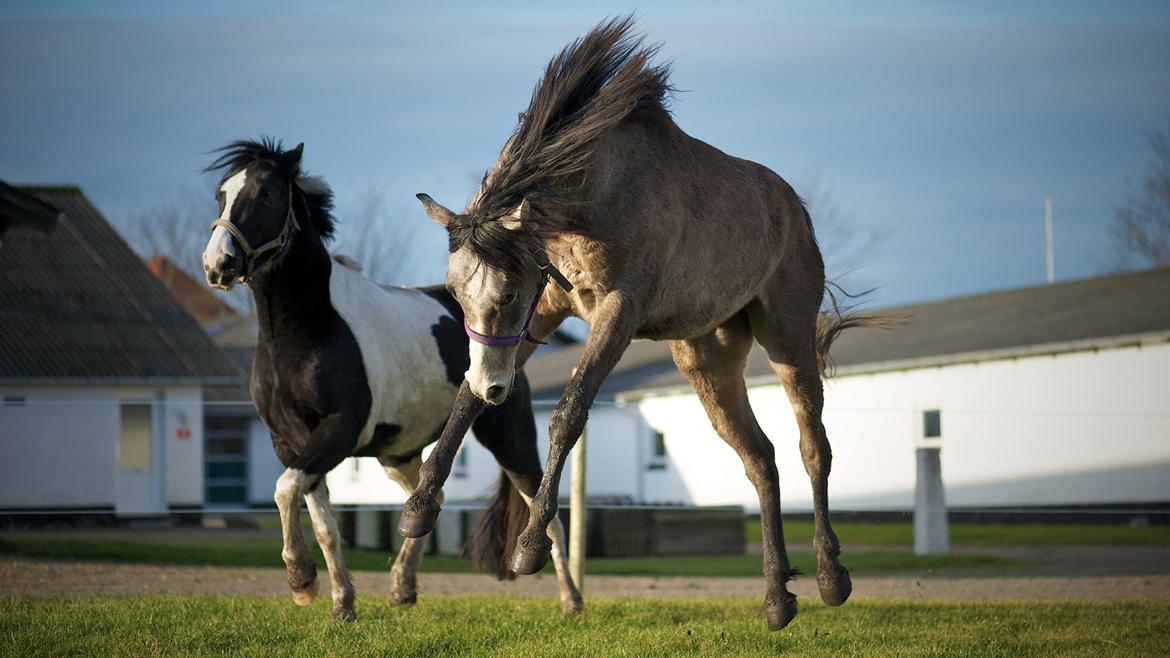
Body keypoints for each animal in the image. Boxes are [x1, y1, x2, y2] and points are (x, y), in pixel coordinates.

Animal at [202, 139, 585, 618]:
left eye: (266, 193)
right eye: (222, 194)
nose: (217, 264)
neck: (309, 329)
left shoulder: (339, 431)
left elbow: (284, 490)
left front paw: (301, 580)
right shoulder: (292, 443)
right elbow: (320, 520)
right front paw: (340, 603)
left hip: (509, 439)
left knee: (547, 515)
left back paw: (572, 601)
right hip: (398, 453)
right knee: (430, 502)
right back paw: (402, 587)